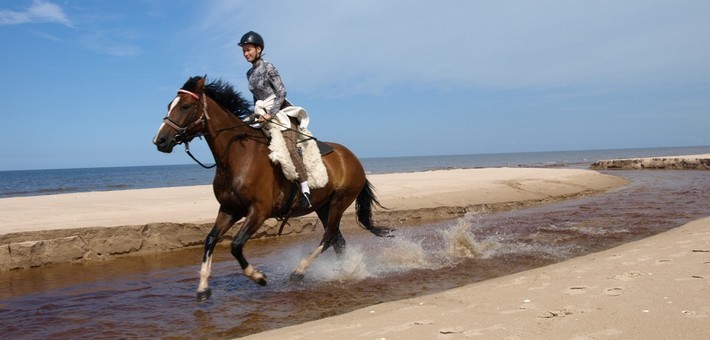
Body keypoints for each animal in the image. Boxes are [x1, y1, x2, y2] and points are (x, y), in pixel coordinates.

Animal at [152, 76, 392, 300]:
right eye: (169, 105)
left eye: (185, 106)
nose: (160, 141)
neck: (237, 156)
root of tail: (353, 159)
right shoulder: (229, 209)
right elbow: (210, 239)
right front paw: (203, 288)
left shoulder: (258, 211)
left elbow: (236, 245)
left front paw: (258, 276)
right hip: (322, 206)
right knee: (337, 240)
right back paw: (345, 272)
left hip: (338, 203)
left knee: (329, 237)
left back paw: (299, 271)